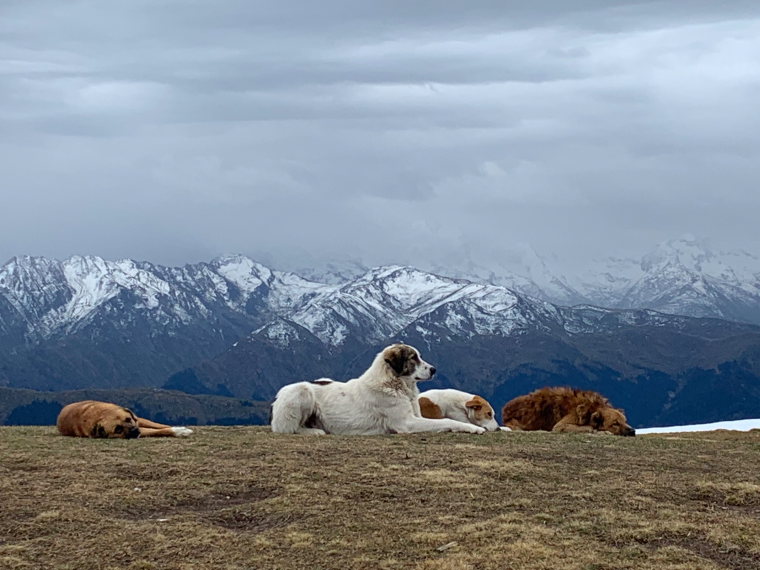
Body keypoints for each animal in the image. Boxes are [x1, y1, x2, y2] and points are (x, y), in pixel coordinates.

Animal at [56, 398, 193, 438]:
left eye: (128, 419)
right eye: (118, 429)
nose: (134, 431)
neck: (100, 415)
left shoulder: (137, 421)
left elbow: (160, 426)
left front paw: (180, 428)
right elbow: (159, 431)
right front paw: (179, 431)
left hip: (140, 419)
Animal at [270, 342, 484, 434]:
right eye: (413, 358)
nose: (434, 369)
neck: (394, 384)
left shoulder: (417, 416)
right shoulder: (406, 423)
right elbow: (446, 421)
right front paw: (473, 428)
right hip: (301, 391)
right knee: (287, 429)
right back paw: (316, 432)